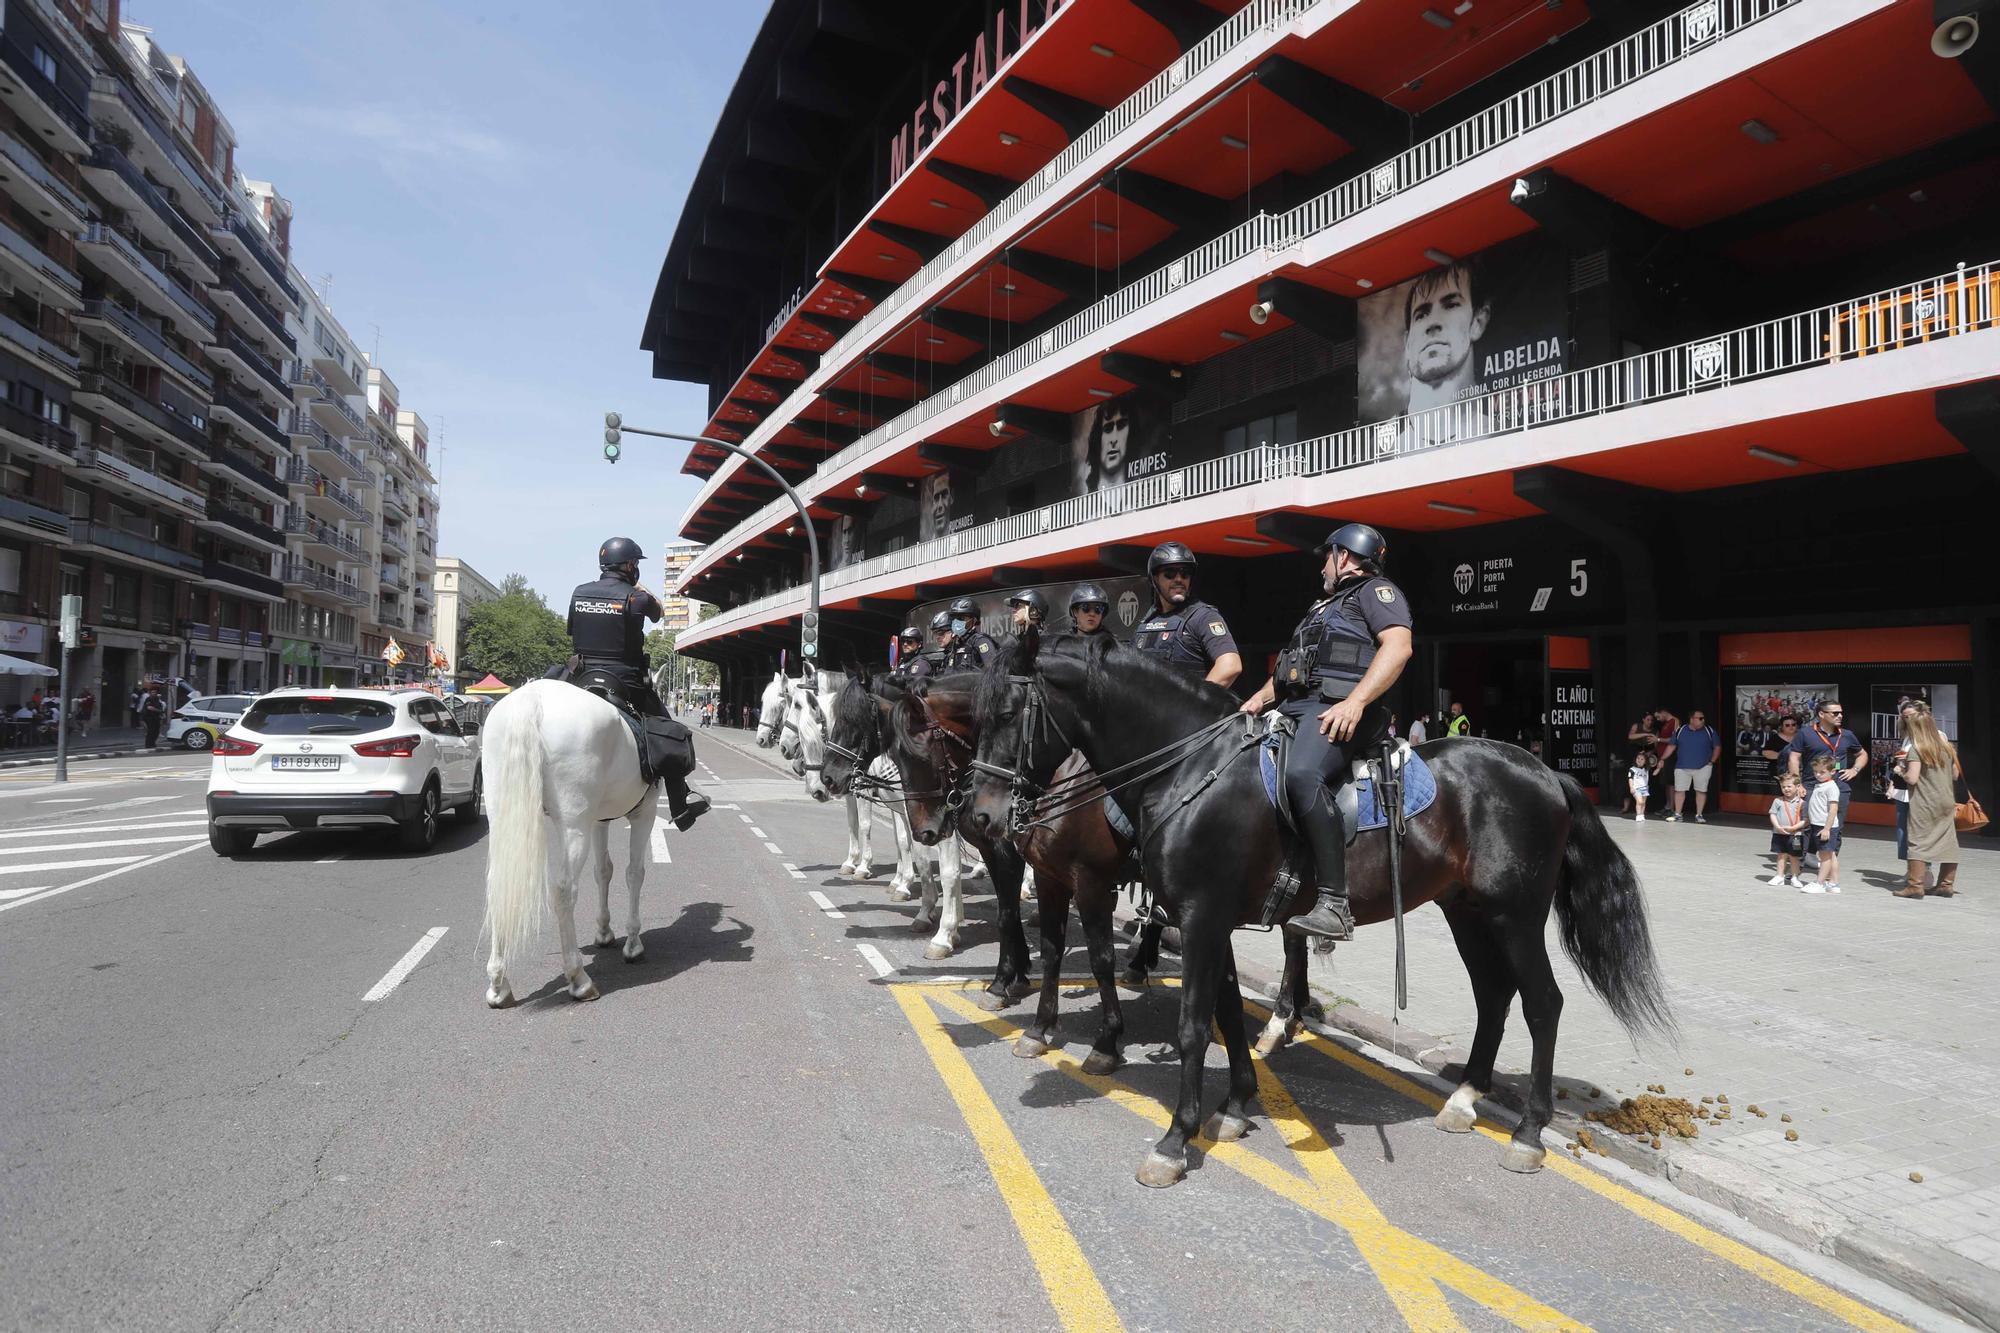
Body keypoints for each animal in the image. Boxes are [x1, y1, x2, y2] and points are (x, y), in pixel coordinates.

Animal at [480, 680, 660, 1000]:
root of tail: (532, 697)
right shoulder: (645, 813)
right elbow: (634, 874)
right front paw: (633, 944)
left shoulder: (600, 819)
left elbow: (604, 871)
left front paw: (604, 932)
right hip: (575, 825)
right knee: (564, 891)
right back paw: (579, 979)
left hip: (502, 816)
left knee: (498, 884)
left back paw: (499, 983)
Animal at [968, 628, 1672, 1184]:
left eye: (1008, 711)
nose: (981, 816)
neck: (1191, 768)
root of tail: (1546, 771)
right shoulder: (1213, 921)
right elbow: (1228, 1012)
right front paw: (1235, 1107)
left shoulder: (1196, 918)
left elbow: (1195, 1024)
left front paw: (1176, 1138)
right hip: (1466, 910)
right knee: (1494, 997)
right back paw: (1466, 1098)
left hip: (1515, 916)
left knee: (1541, 1003)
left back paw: (1528, 1132)